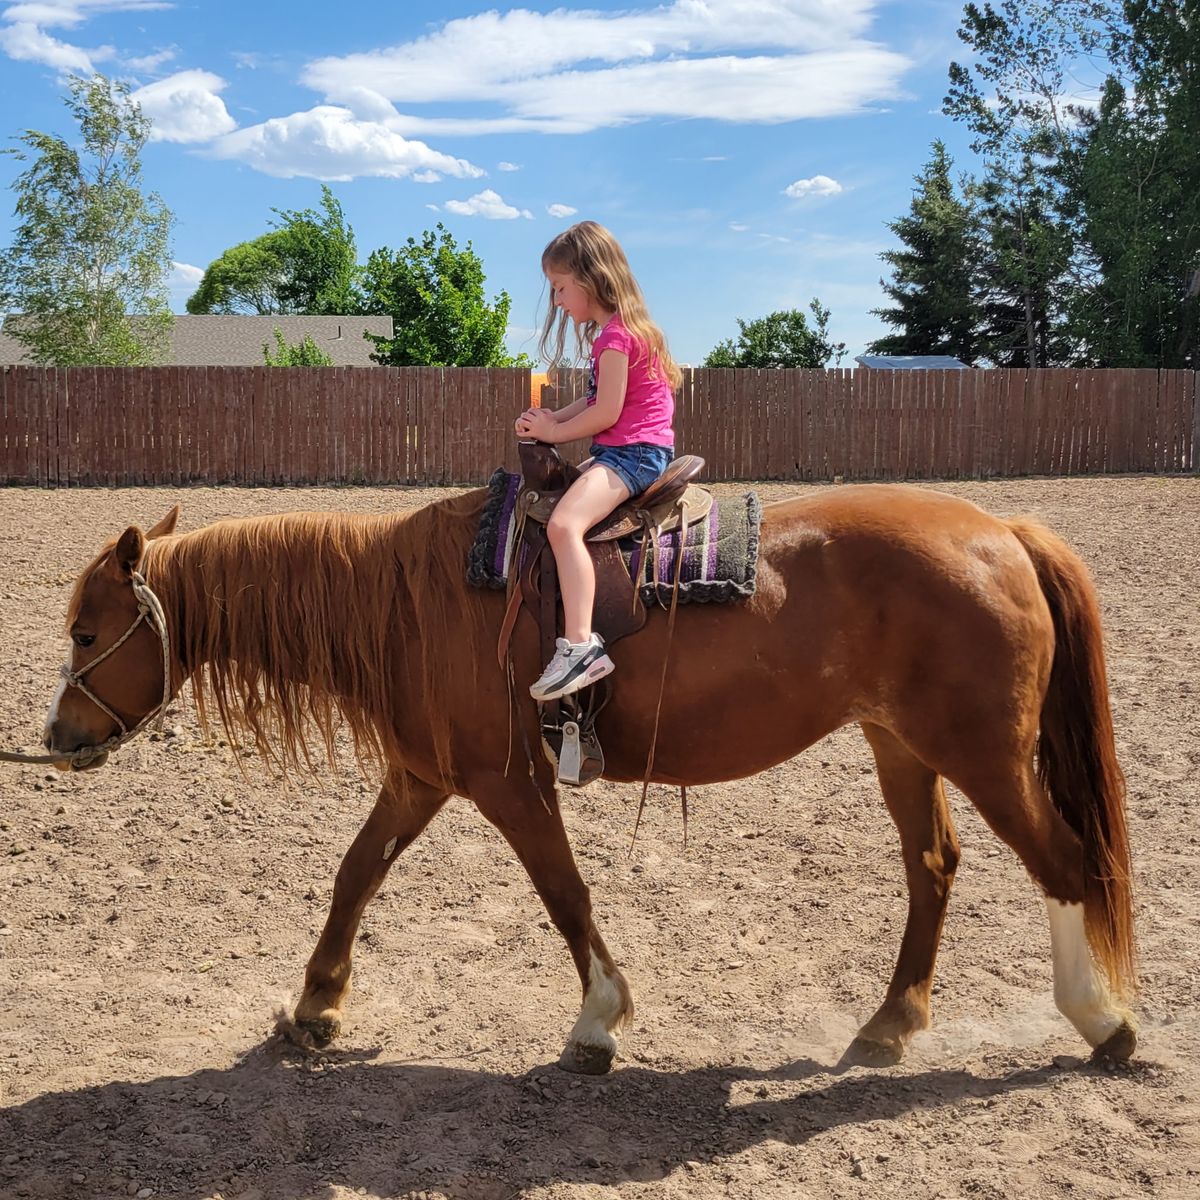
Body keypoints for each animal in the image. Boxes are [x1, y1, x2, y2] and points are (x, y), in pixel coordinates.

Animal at [40, 481, 1138, 1074]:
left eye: (87, 633)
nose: (57, 738)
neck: (412, 605)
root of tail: (1002, 530)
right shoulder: (421, 778)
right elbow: (355, 876)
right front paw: (315, 1008)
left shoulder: (506, 782)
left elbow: (563, 893)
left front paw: (598, 1020)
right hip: (903, 747)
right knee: (933, 868)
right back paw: (890, 1025)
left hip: (981, 754)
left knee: (1064, 862)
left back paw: (1103, 1022)